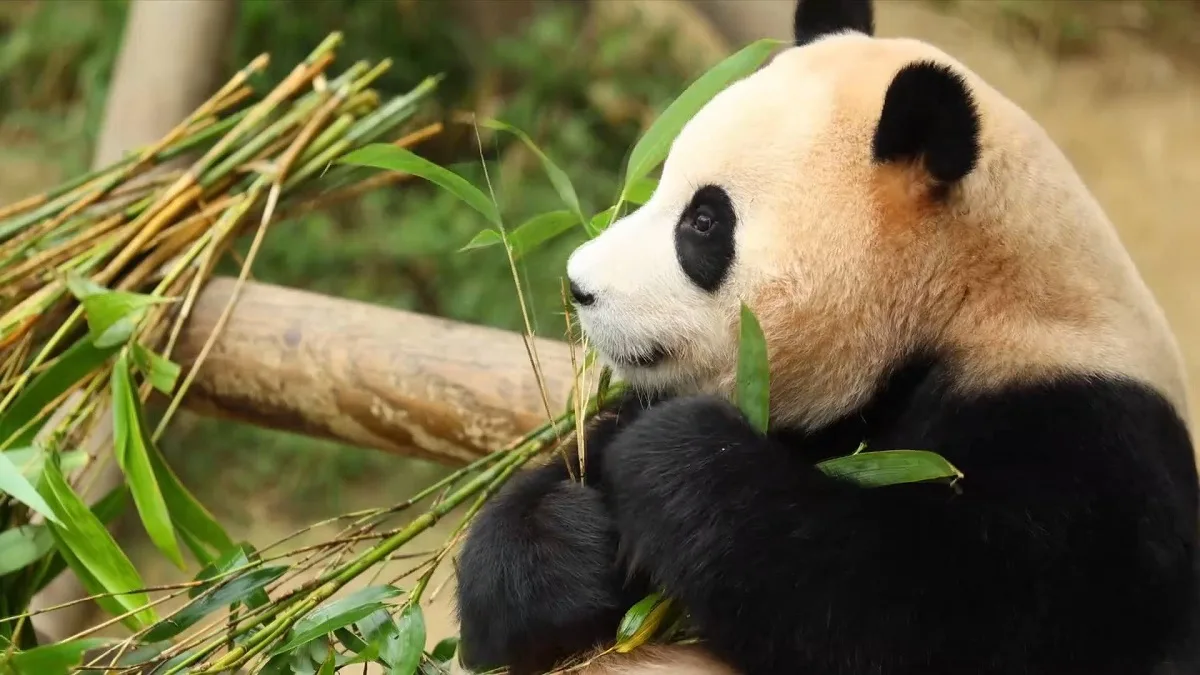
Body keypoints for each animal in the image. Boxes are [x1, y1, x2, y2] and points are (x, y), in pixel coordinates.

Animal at [452, 0, 1200, 673]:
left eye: (703, 222)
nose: (579, 286)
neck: (965, 302)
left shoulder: (1087, 448)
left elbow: (924, 607)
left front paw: (671, 456)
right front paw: (570, 544)